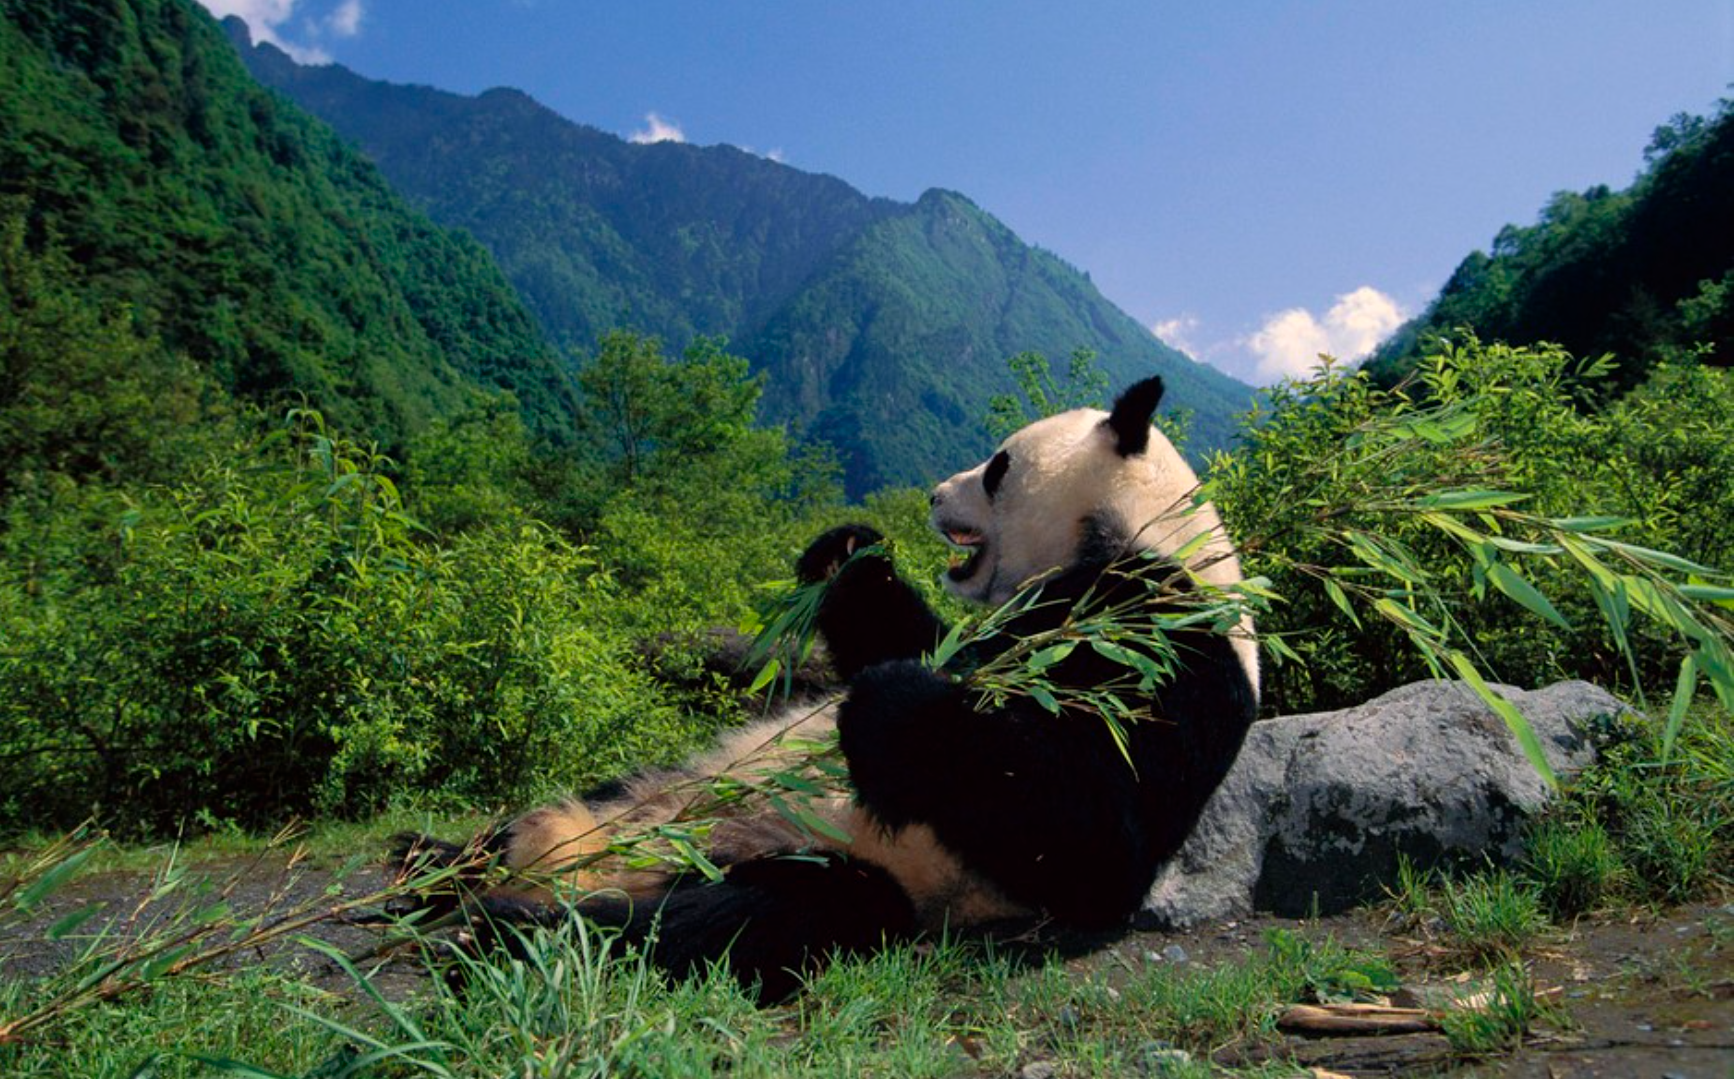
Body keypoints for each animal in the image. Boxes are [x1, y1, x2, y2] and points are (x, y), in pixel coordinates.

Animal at [397, 376, 1259, 1000]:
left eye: (997, 466)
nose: (931, 495)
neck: (1135, 533)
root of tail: (588, 858)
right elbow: (913, 635)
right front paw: (848, 550)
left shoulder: (1171, 646)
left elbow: (1095, 834)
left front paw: (893, 704)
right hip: (658, 781)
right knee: (559, 816)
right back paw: (432, 863)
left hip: (828, 861)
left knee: (746, 916)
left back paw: (505, 929)